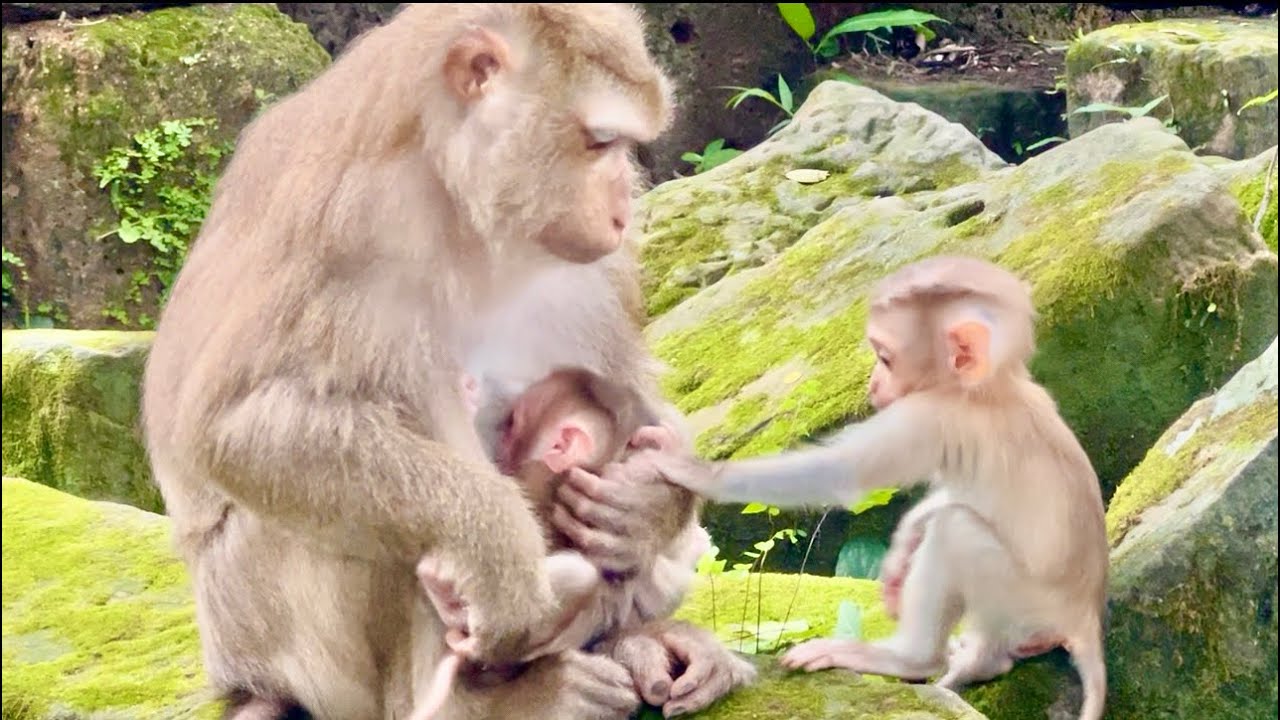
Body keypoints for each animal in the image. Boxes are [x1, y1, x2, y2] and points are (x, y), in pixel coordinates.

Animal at [140, 4, 751, 720]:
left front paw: (650, 505)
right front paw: (497, 549)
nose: (625, 202)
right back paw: (493, 698)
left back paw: (636, 641)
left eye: (624, 149)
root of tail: (233, 671)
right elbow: (236, 429)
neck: (455, 198)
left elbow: (624, 380)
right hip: (272, 634)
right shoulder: (352, 220)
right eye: (600, 143)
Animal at [649, 255, 1110, 720]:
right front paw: (903, 544)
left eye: (885, 359)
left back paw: (915, 659)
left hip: (1026, 601)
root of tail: (1084, 619)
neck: (993, 386)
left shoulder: (929, 416)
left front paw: (695, 470)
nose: (872, 384)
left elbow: (841, 474)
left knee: (957, 533)